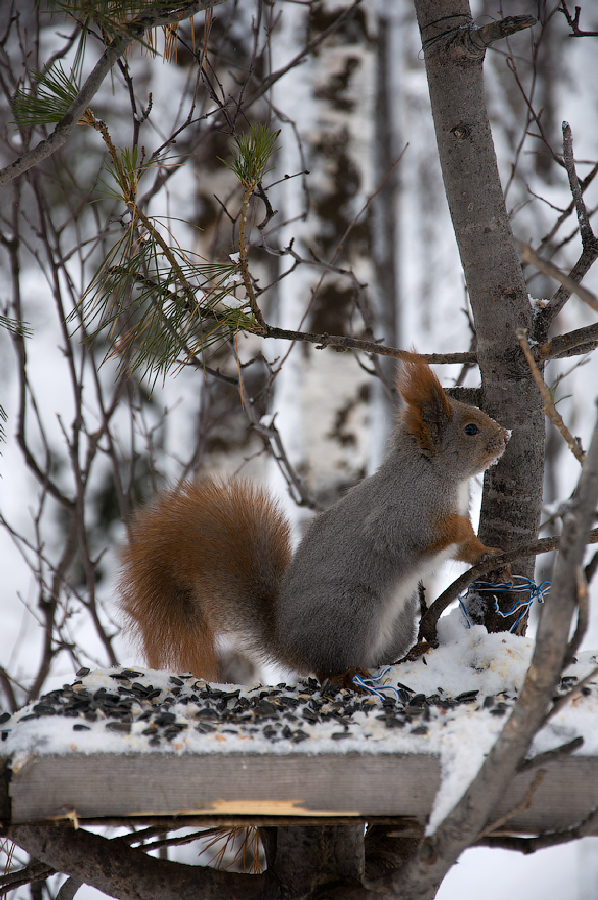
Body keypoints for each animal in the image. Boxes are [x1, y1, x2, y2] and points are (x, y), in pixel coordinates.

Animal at [120, 356, 510, 684]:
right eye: (471, 429)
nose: (505, 436)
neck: (438, 475)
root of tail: (289, 645)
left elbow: (464, 548)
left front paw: (489, 553)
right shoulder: (402, 514)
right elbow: (415, 539)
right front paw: (463, 528)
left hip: (396, 622)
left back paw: (412, 652)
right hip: (351, 613)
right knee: (327, 669)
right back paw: (348, 675)